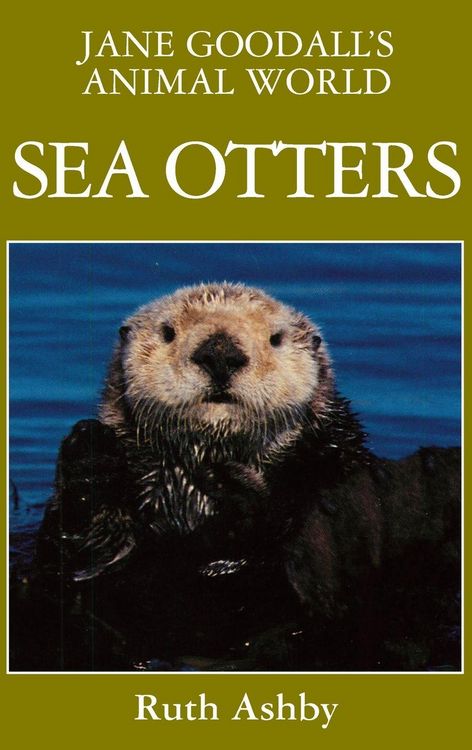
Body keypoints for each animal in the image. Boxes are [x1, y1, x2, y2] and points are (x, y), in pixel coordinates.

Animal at [14, 283, 460, 671]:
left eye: (276, 339)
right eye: (168, 332)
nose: (220, 353)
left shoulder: (332, 459)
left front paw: (234, 489)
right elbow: (77, 557)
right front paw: (89, 455)